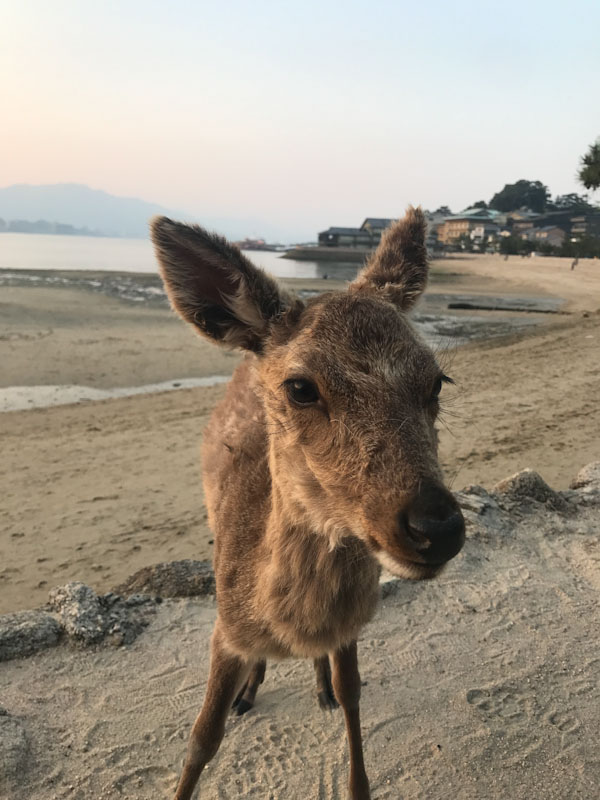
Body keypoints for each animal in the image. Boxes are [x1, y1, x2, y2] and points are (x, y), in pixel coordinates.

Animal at [150, 207, 465, 800]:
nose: (437, 526)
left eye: (437, 381)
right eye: (300, 387)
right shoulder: (225, 627)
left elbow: (352, 696)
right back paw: (251, 689)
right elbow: (202, 738)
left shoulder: (352, 624)